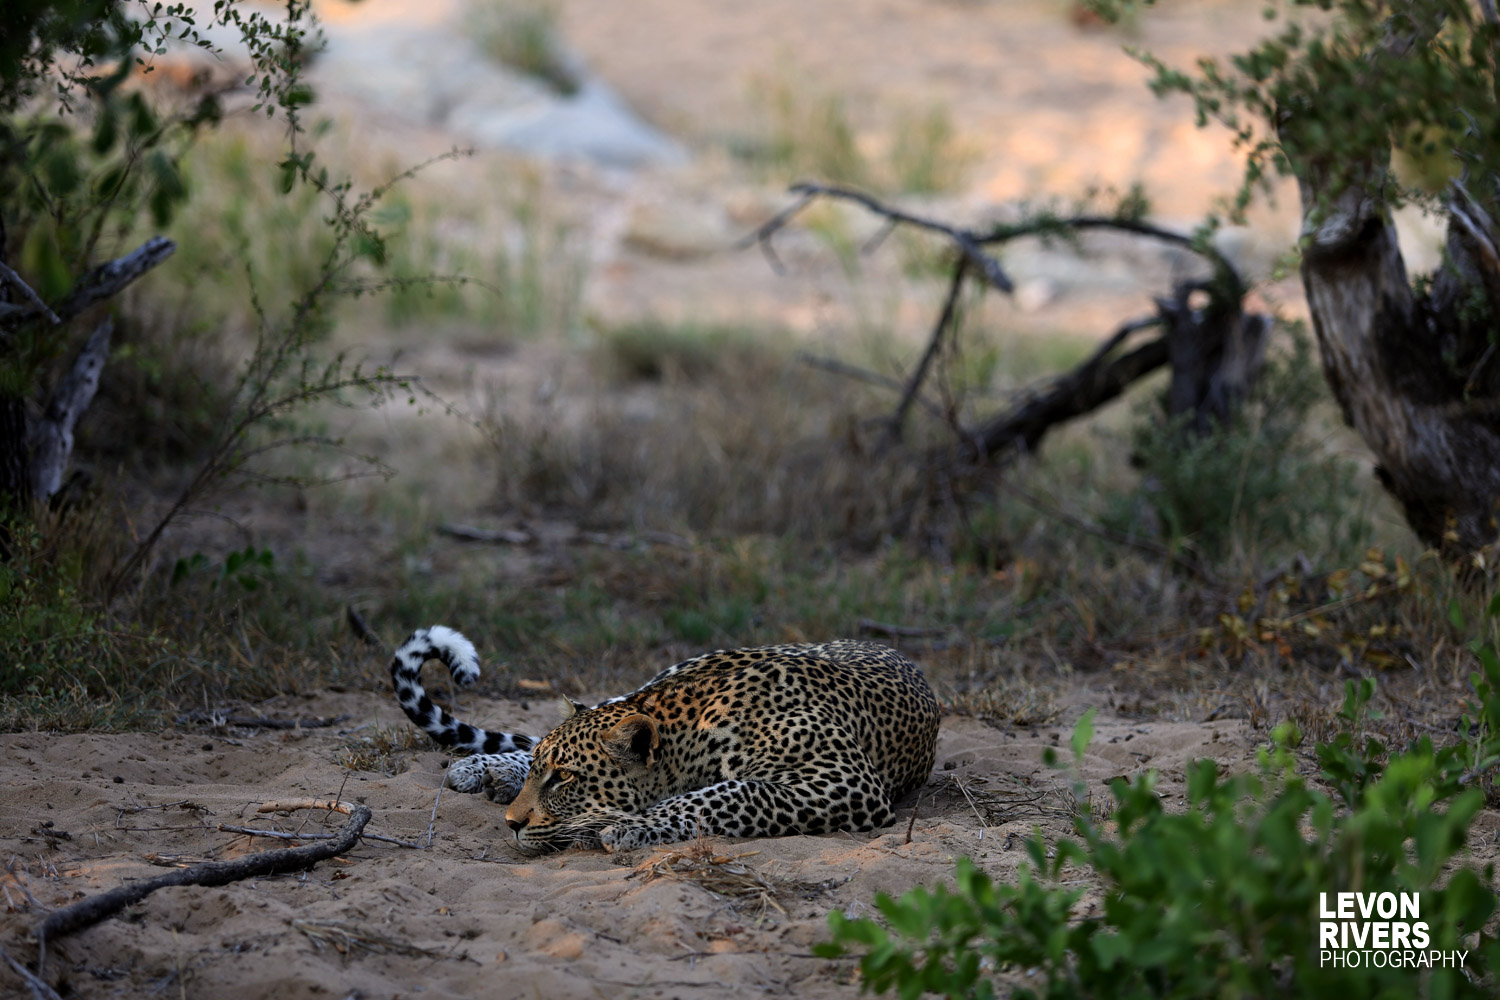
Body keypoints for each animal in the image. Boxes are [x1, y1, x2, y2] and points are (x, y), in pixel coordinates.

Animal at [390, 626, 940, 852]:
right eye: (550, 774)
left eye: (565, 778)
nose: (511, 824)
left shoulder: (842, 779)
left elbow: (732, 792)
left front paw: (629, 826)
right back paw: (480, 769)